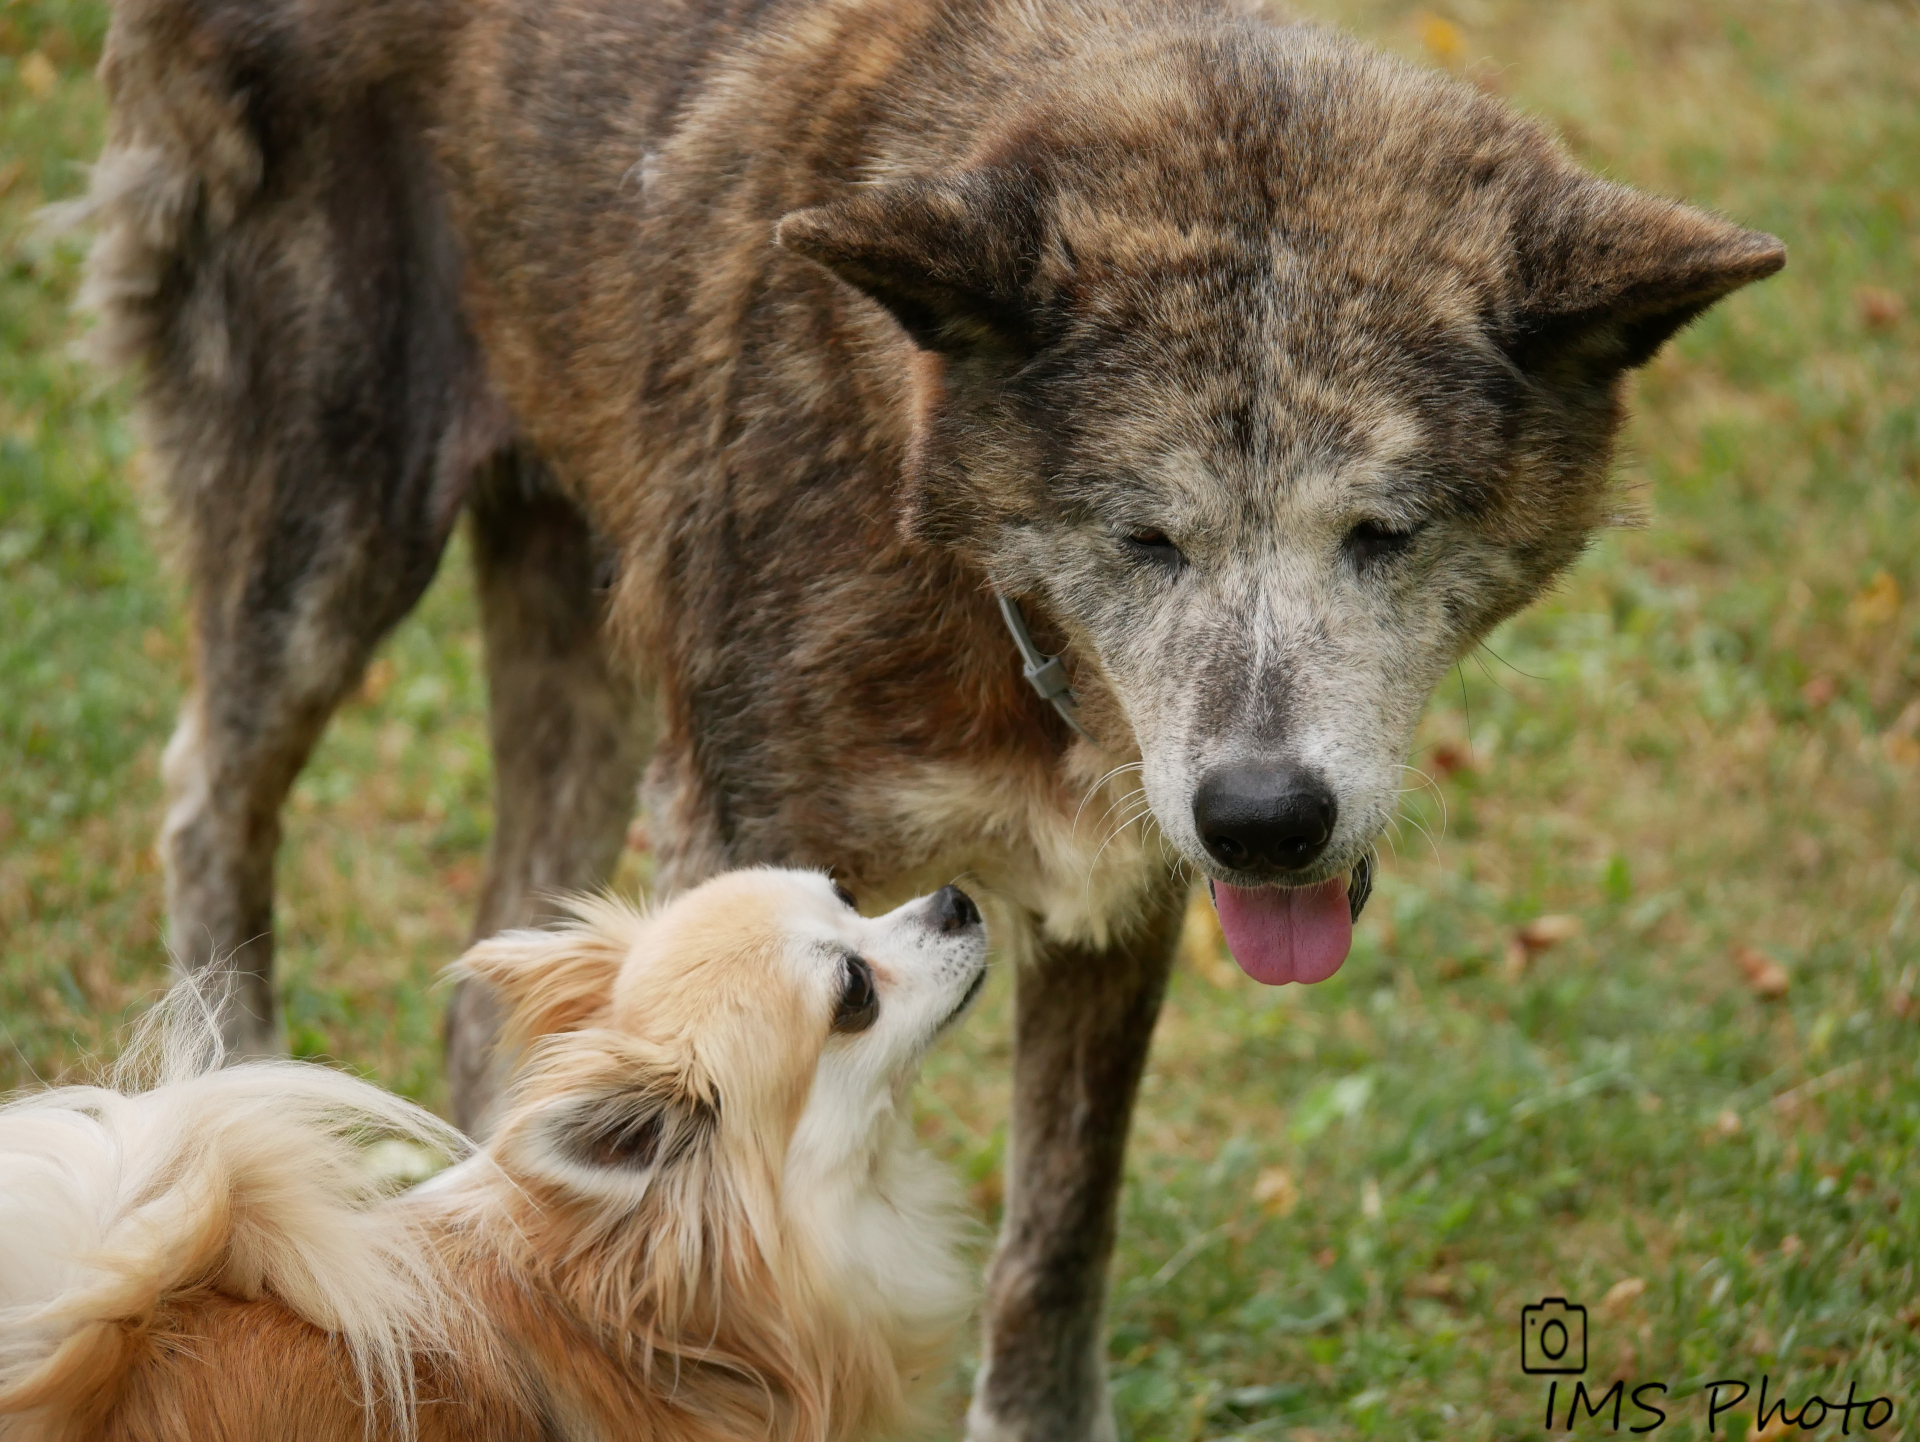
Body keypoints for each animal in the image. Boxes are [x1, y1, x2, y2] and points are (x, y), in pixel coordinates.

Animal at [74, 0, 1781, 1428]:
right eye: (1144, 536)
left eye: (1384, 531)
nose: (1264, 821)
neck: (972, 580)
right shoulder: (742, 844)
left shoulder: (1122, 897)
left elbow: (1057, 1236)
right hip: (327, 544)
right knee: (205, 801)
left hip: (578, 615)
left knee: (492, 994)